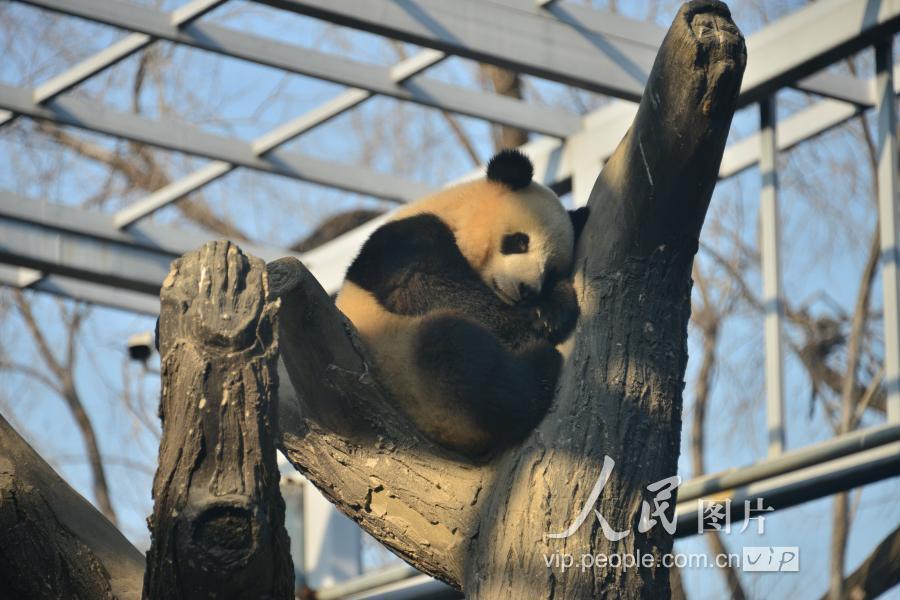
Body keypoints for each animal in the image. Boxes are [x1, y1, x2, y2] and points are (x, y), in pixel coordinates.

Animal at [334, 149, 588, 454]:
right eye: (519, 242)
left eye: (551, 269)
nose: (526, 290)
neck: (457, 209)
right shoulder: (402, 241)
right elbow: (424, 285)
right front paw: (532, 323)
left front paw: (551, 310)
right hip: (407, 364)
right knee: (457, 353)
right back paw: (541, 363)